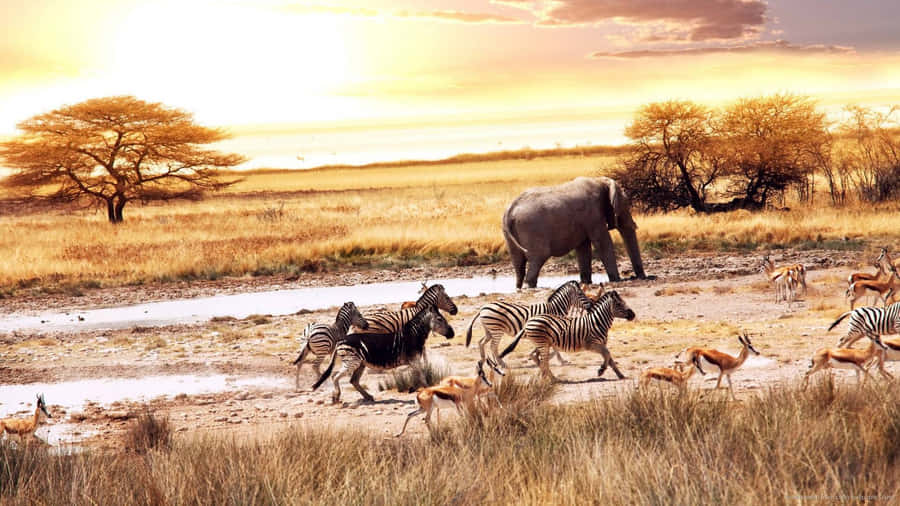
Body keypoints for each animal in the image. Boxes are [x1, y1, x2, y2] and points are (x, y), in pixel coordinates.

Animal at [502, 176, 646, 288]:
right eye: (626, 205)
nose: (641, 277)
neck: (600, 181)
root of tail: (510, 211)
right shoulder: (593, 214)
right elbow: (602, 242)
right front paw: (616, 280)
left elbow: (583, 248)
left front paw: (586, 282)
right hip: (531, 228)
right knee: (539, 257)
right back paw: (529, 286)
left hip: (510, 232)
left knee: (518, 263)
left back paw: (519, 288)